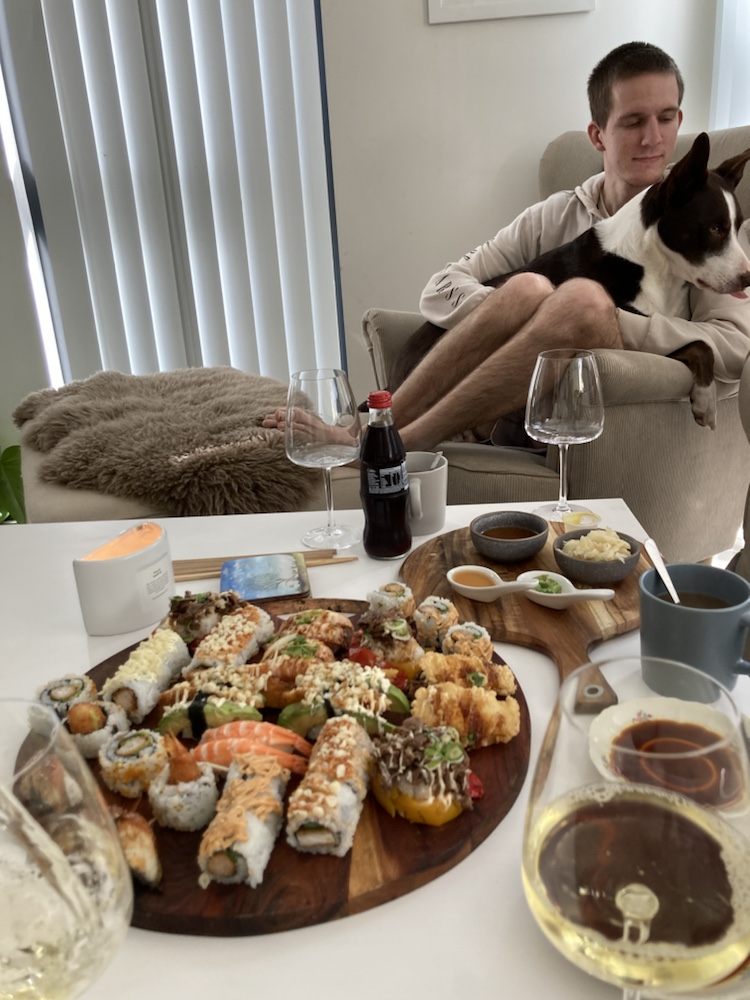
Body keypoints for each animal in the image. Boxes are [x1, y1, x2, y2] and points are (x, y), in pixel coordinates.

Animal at [394, 132, 750, 430]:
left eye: (737, 227)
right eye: (715, 228)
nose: (748, 279)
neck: (654, 266)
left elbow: (701, 340)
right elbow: (698, 343)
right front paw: (706, 399)